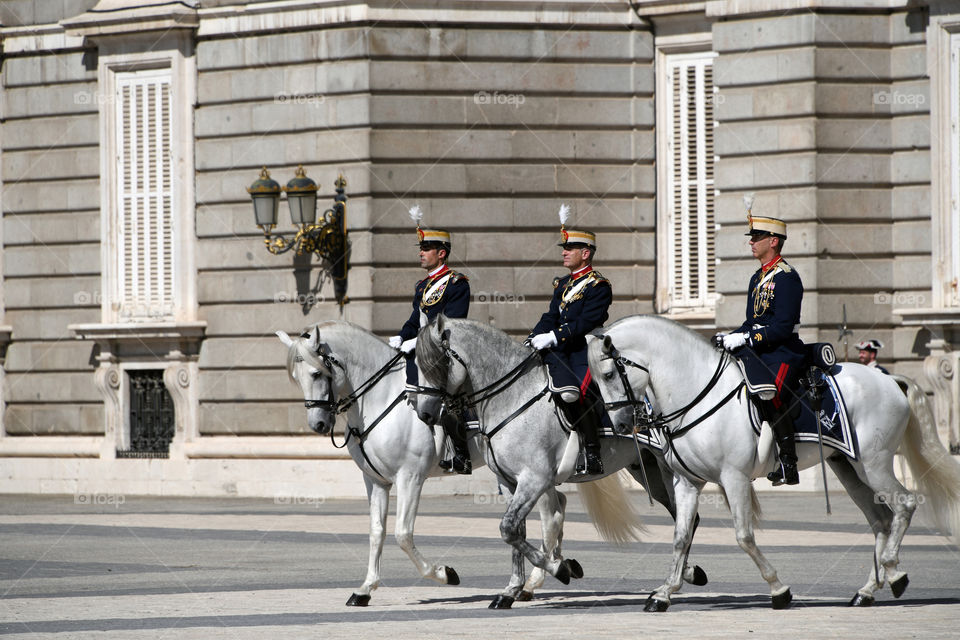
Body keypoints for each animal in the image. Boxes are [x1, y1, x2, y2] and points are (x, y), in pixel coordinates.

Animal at [278, 322, 576, 608]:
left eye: (317, 374)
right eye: (296, 378)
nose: (318, 424)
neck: (380, 398)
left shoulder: (410, 477)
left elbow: (402, 534)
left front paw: (444, 573)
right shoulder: (376, 481)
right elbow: (377, 531)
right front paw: (366, 588)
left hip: (530, 470)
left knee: (550, 515)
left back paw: (538, 578)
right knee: (558, 505)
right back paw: (557, 566)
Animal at [416, 318, 708, 608]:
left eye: (435, 363)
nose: (425, 414)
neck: (513, 398)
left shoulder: (534, 479)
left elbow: (508, 529)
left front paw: (558, 568)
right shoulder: (509, 482)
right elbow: (516, 533)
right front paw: (511, 589)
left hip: (668, 468)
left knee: (685, 518)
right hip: (649, 469)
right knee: (685, 518)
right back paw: (687, 574)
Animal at [584, 316, 960, 608]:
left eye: (608, 374)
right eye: (594, 379)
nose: (621, 425)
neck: (695, 394)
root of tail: (888, 379)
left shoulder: (733, 478)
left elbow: (744, 536)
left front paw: (779, 589)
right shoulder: (686, 482)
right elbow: (680, 536)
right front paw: (664, 593)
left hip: (874, 464)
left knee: (905, 504)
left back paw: (895, 571)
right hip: (848, 467)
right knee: (881, 519)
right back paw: (867, 590)